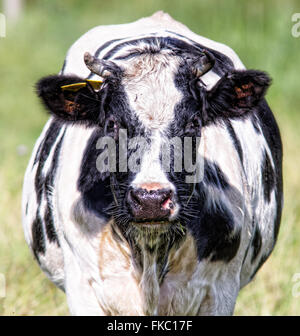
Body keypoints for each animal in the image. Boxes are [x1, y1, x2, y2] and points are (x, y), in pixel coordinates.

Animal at [22, 10, 282, 316]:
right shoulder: (83, 288)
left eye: (194, 123)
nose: (151, 199)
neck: (150, 251)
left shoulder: (220, 290)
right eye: (112, 123)